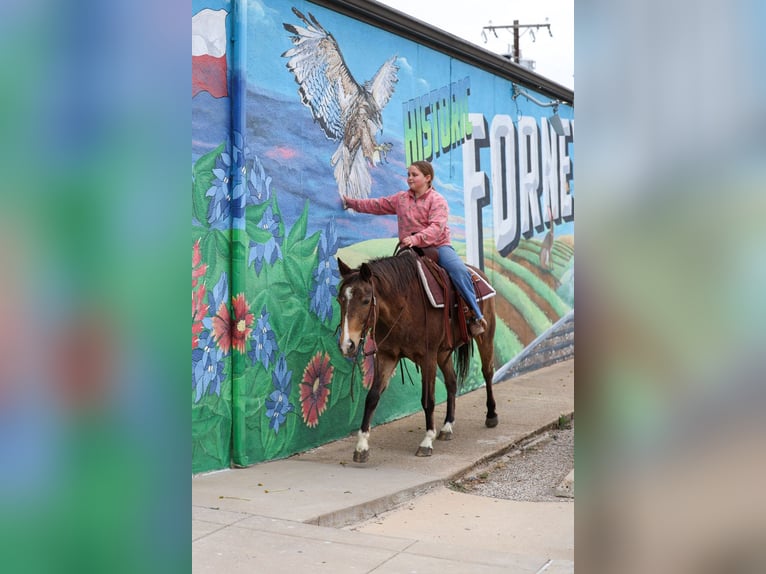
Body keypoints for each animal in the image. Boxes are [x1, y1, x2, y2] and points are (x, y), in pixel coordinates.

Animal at [336, 250, 498, 462]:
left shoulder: (427, 357)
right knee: (452, 381)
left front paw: (427, 441)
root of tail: (479, 273)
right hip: (443, 353)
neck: (404, 307)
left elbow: (427, 400)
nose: (347, 344)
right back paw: (447, 426)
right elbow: (372, 397)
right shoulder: (387, 356)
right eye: (340, 300)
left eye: (365, 300)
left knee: (487, 372)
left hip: (485, 336)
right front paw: (361, 446)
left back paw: (491, 415)